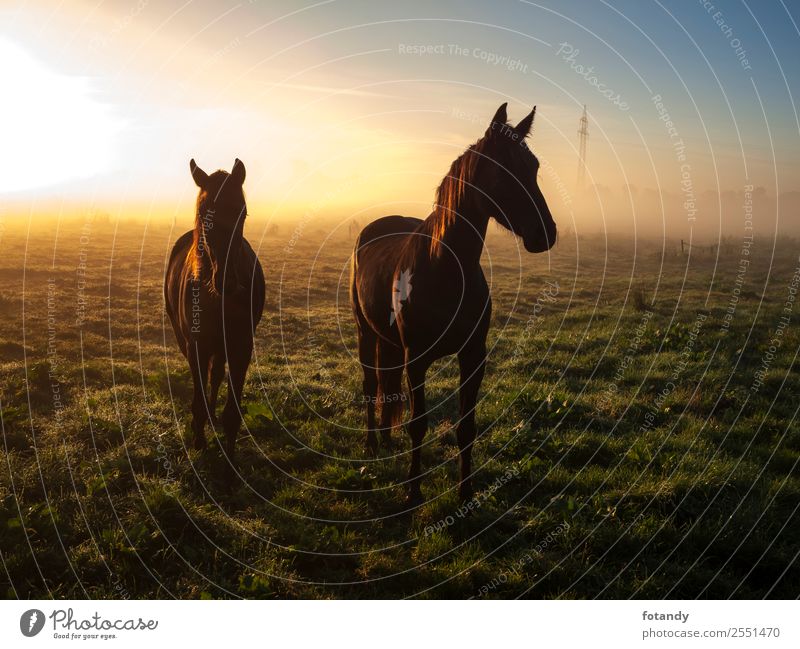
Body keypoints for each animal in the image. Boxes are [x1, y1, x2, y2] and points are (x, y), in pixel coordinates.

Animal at [165, 158, 266, 480]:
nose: (227, 282)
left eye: (242, 211)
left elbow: (232, 410)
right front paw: (199, 441)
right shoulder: (195, 346)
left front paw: (230, 461)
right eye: (203, 212)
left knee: (216, 375)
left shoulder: (241, 347)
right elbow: (197, 400)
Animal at [350, 104, 556, 504]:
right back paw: (371, 445)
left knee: (386, 387)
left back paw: (385, 440)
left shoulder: (473, 356)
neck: (444, 267)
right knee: (371, 385)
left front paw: (465, 493)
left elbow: (466, 427)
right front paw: (413, 493)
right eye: (504, 169)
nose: (546, 234)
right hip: (366, 333)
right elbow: (418, 425)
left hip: (388, 341)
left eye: (535, 167)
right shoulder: (416, 359)